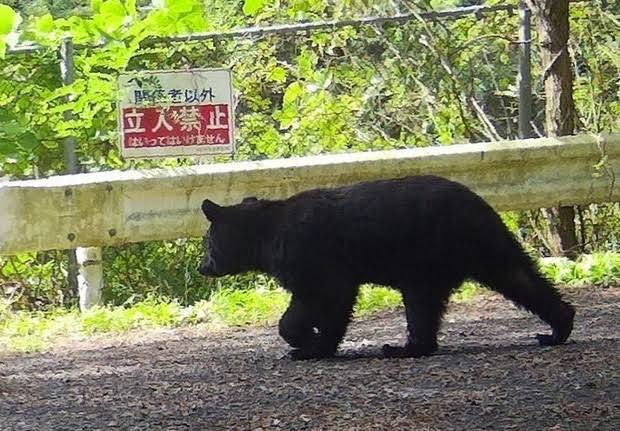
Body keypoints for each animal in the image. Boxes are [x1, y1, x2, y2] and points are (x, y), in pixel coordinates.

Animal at [199, 176, 576, 362]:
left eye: (207, 243)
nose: (202, 267)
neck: (266, 235)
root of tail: (479, 205)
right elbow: (327, 302)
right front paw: (315, 344)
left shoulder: (311, 256)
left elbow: (323, 298)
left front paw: (305, 344)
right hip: (482, 245)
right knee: (519, 277)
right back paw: (558, 328)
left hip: (426, 256)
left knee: (423, 302)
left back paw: (400, 348)